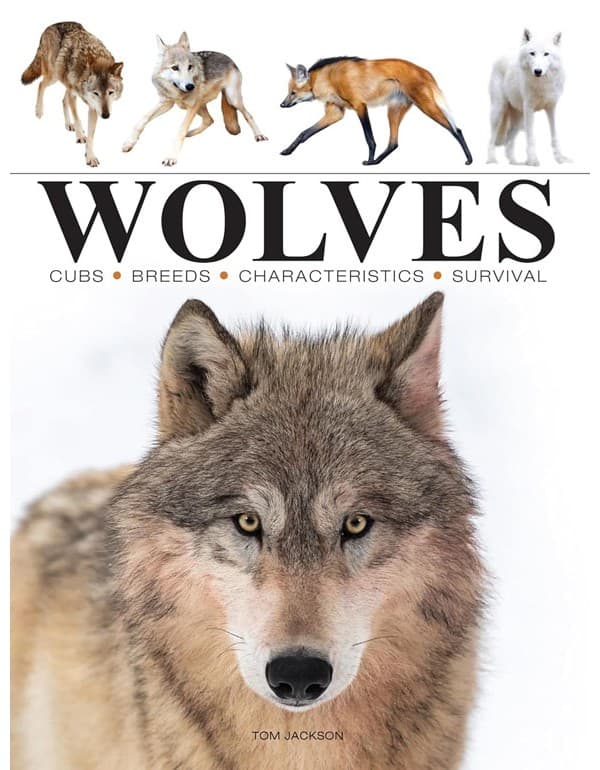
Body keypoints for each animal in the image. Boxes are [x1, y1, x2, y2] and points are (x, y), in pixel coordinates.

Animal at [21, 21, 123, 167]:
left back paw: (69, 124)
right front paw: (80, 136)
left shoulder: (93, 107)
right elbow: (78, 119)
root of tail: (49, 27)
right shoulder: (77, 96)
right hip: (53, 76)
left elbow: (91, 136)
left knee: (63, 100)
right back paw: (39, 111)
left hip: (63, 82)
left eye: (110, 92)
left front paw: (90, 156)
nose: (105, 115)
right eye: (96, 93)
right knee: (41, 85)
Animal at [122, 32, 267, 166]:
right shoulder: (167, 103)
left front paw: (171, 157)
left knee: (248, 115)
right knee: (209, 120)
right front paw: (129, 142)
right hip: (195, 106)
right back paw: (190, 133)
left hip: (232, 99)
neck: (177, 93)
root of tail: (231, 59)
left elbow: (180, 130)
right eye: (175, 68)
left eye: (189, 67)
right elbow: (142, 119)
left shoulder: (191, 106)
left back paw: (259, 135)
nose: (190, 86)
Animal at [280, 57, 473, 165]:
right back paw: (378, 162)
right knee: (394, 143)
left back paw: (469, 159)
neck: (328, 79)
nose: (282, 104)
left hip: (425, 105)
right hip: (394, 110)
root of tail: (425, 71)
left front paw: (369, 158)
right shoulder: (335, 113)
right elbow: (303, 134)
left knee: (456, 129)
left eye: (292, 93)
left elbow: (369, 138)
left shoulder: (359, 105)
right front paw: (287, 151)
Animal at [487, 29, 569, 165]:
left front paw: (560, 158)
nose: (537, 71)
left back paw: (514, 162)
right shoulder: (529, 109)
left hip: (519, 118)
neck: (542, 84)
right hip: (499, 111)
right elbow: (531, 137)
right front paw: (533, 160)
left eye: (546, 54)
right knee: (492, 138)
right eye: (532, 53)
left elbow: (554, 135)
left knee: (509, 139)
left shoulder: (551, 108)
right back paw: (491, 160)